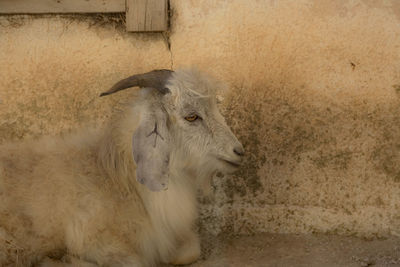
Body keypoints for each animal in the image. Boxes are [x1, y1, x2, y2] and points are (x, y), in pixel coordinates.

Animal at [0, 68, 244, 266]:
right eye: (191, 116)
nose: (239, 152)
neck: (117, 179)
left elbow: (190, 252)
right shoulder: (93, 238)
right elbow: (135, 262)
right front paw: (65, 259)